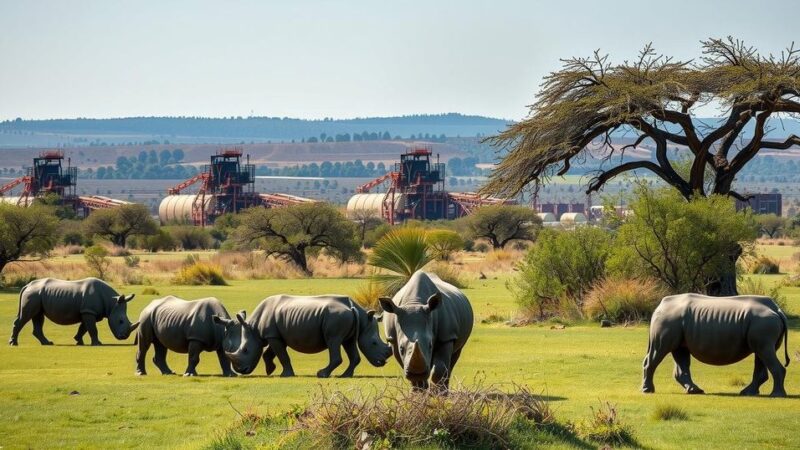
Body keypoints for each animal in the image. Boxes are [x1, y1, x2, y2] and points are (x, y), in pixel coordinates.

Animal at [9, 276, 138, 346]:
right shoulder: (88, 311)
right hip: (33, 294)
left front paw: (79, 341)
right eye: (120, 321)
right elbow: (92, 329)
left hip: (36, 295)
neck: (111, 303)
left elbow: (84, 328)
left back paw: (47, 343)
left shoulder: (87, 311)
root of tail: (27, 285)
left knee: (38, 316)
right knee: (26, 317)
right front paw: (97, 344)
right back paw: (13, 343)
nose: (124, 337)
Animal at [214, 298, 392, 378]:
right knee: (347, 344)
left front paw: (285, 375)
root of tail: (352, 307)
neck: (254, 327)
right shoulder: (275, 335)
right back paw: (345, 376)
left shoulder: (272, 335)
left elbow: (282, 356)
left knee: (333, 341)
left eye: (245, 350)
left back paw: (322, 374)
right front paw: (270, 370)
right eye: (374, 343)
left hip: (336, 318)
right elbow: (270, 353)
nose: (241, 371)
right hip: (344, 321)